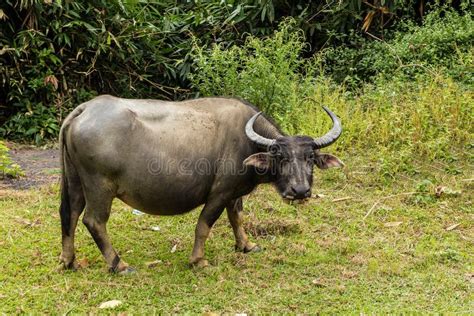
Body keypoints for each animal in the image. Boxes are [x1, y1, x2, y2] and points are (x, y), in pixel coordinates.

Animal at [59, 95, 342, 272]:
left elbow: (237, 218)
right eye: (280, 157)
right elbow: (204, 225)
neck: (247, 142)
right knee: (94, 221)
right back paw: (119, 265)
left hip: (75, 180)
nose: (300, 191)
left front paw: (246, 245)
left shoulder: (234, 194)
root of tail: (84, 110)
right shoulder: (219, 193)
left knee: (69, 214)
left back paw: (68, 261)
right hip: (100, 186)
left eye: (310, 158)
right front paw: (198, 261)